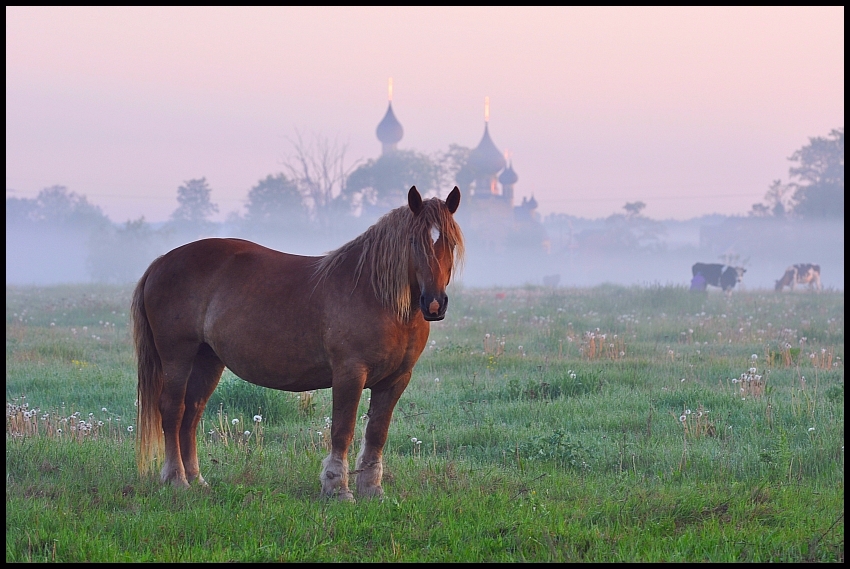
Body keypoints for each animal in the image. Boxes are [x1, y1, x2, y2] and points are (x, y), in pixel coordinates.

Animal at [133, 184, 464, 500]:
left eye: (449, 242)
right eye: (414, 242)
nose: (434, 304)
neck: (377, 295)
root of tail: (161, 262)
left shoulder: (395, 380)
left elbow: (376, 434)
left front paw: (372, 490)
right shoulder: (350, 374)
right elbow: (342, 431)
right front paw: (337, 489)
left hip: (207, 360)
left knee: (191, 413)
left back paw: (197, 480)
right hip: (177, 356)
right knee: (173, 410)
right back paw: (176, 480)